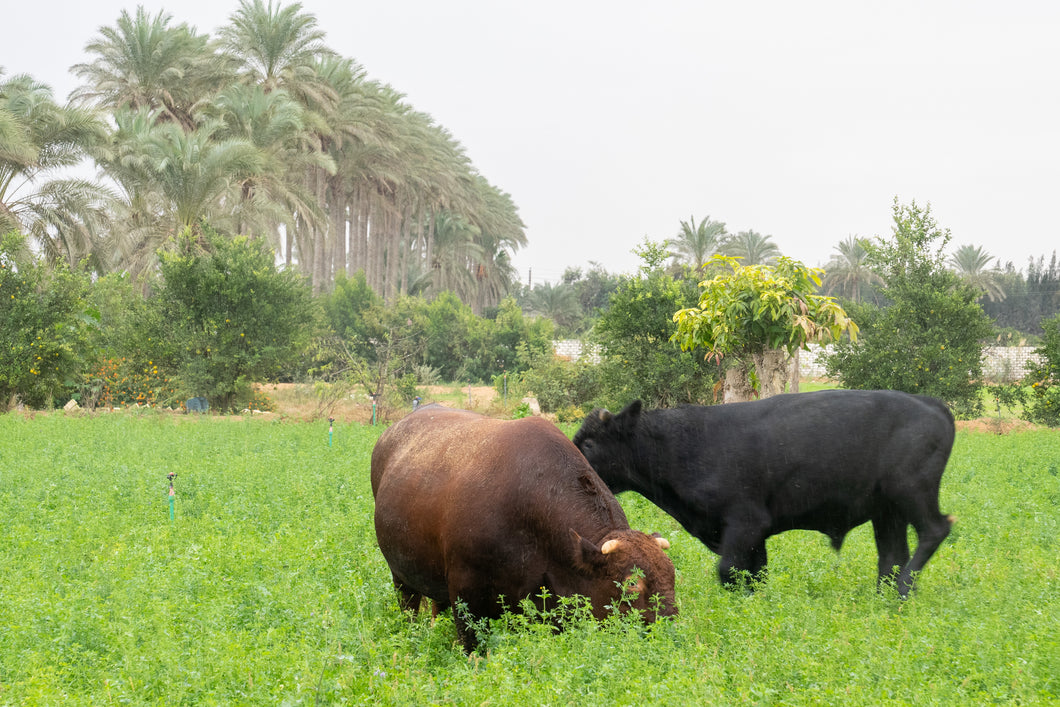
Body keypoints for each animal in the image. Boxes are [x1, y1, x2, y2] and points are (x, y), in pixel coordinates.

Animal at [572, 390, 957, 598]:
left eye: (589, 443)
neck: (684, 445)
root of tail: (930, 403)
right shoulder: (754, 536)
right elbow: (754, 574)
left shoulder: (746, 523)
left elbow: (729, 571)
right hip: (887, 511)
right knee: (891, 555)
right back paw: (888, 597)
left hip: (912, 491)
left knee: (934, 531)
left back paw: (904, 588)